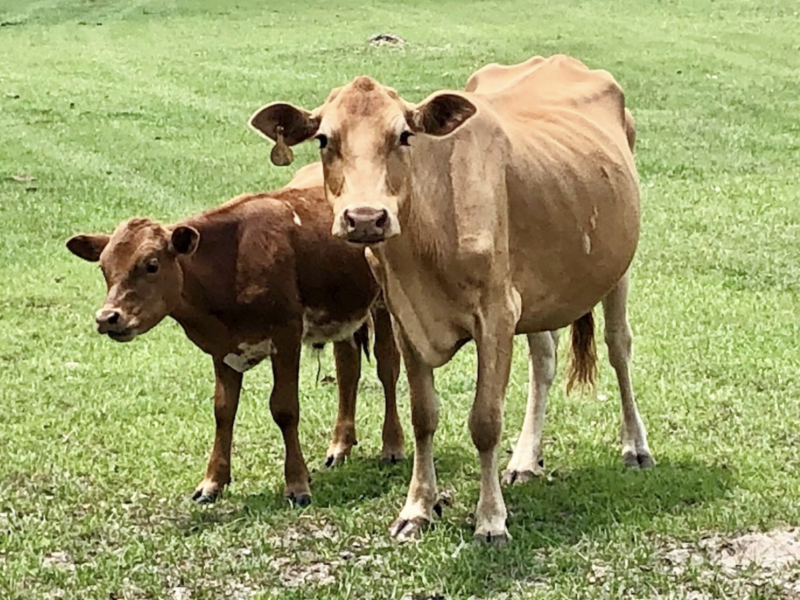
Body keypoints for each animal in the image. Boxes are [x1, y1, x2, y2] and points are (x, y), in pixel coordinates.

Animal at [65, 163, 405, 506]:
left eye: (151, 264)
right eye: (104, 268)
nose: (108, 317)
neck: (230, 261)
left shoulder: (286, 335)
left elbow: (285, 409)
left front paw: (297, 484)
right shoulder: (223, 348)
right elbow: (223, 411)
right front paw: (212, 482)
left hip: (383, 302)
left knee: (387, 367)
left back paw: (392, 446)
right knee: (347, 369)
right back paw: (339, 447)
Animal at [249, 54, 653, 543]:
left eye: (404, 135)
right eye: (325, 139)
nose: (365, 218)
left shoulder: (496, 314)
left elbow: (485, 421)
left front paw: (491, 520)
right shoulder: (405, 317)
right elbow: (423, 415)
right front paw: (417, 509)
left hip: (618, 267)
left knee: (618, 347)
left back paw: (635, 446)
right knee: (544, 360)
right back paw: (524, 460)